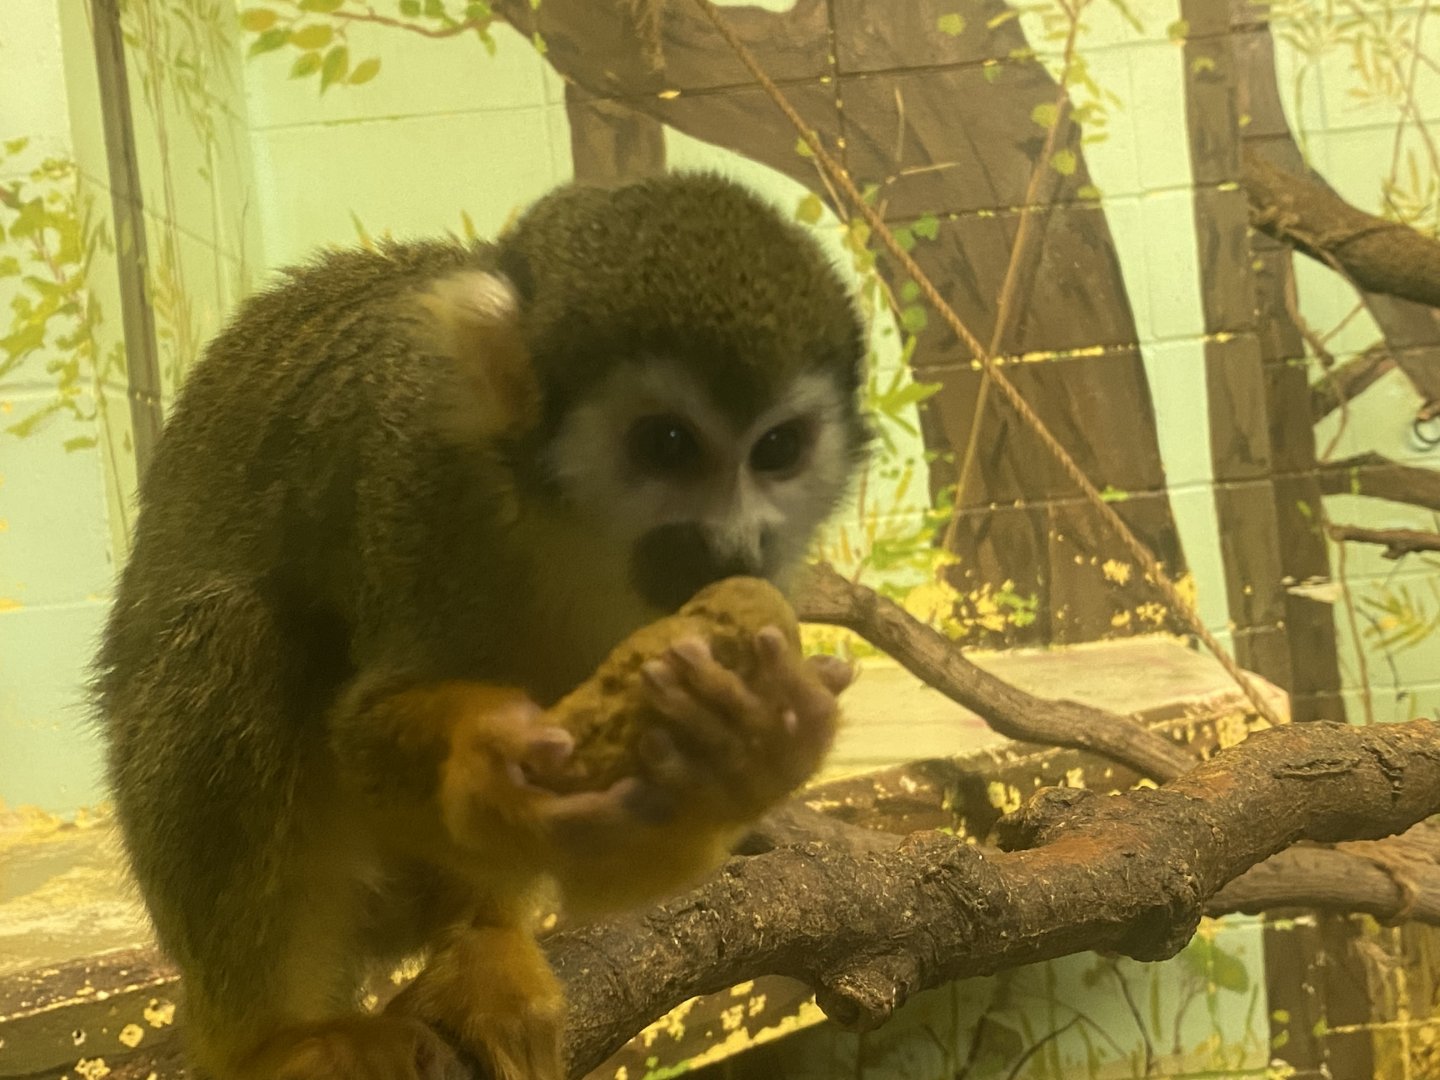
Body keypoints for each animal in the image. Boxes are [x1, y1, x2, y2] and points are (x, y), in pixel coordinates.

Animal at [93, 171, 871, 1080]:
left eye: (778, 449)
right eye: (668, 444)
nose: (726, 545)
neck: (571, 530)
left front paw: (748, 750)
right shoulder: (415, 477)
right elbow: (361, 733)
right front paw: (489, 758)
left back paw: (483, 943)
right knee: (239, 637)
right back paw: (271, 1039)